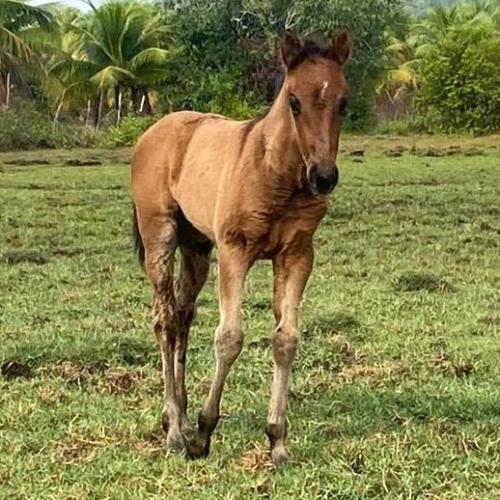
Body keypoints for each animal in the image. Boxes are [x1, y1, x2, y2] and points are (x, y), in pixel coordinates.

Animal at [131, 28, 354, 464]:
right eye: (294, 101)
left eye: (344, 102)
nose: (323, 177)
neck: (277, 175)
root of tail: (153, 131)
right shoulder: (236, 250)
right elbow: (229, 337)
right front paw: (204, 434)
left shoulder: (297, 254)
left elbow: (286, 340)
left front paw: (278, 441)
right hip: (159, 234)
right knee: (164, 319)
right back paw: (175, 430)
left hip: (197, 246)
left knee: (183, 314)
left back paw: (180, 417)